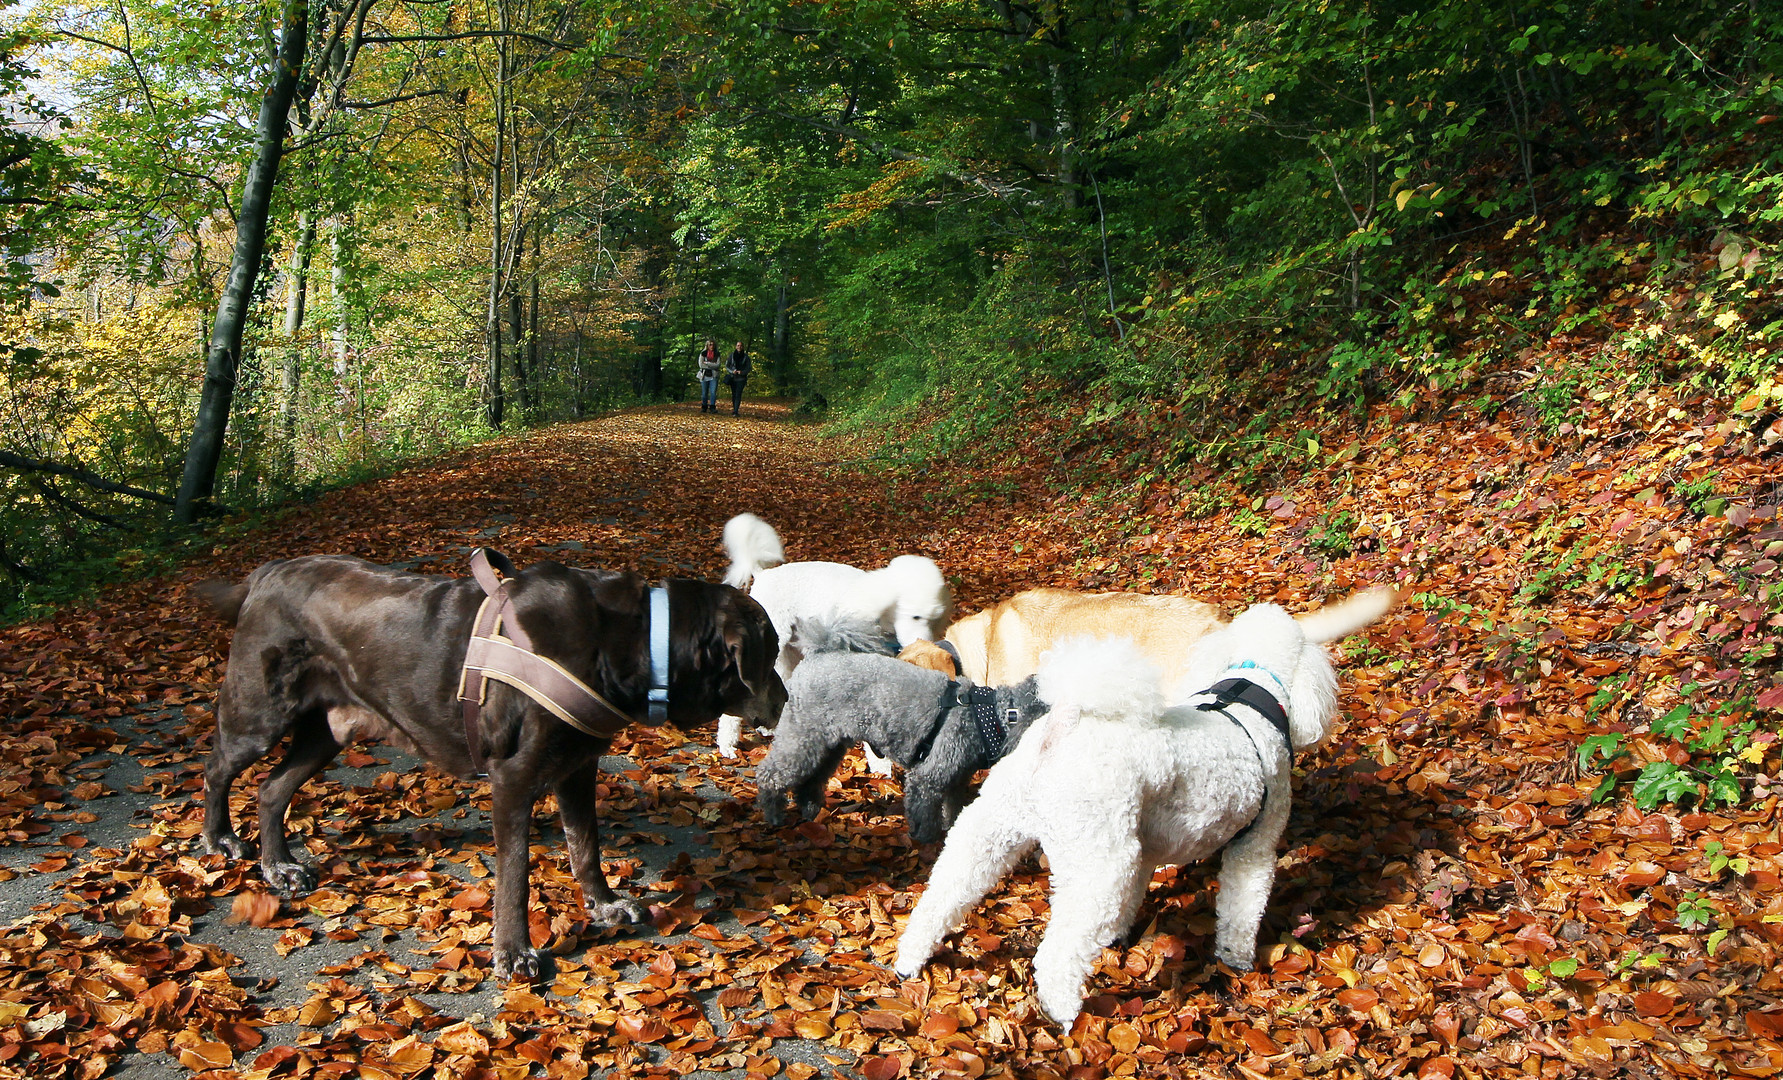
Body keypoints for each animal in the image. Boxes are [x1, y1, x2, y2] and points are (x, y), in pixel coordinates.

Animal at [891, 588, 1390, 1026]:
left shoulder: (1151, 847)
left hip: (999, 837)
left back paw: (911, 962)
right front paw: (1236, 959)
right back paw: (1064, 1011)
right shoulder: (1252, 850)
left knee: (940, 901)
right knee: (1056, 951)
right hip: (1096, 862)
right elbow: (1240, 909)